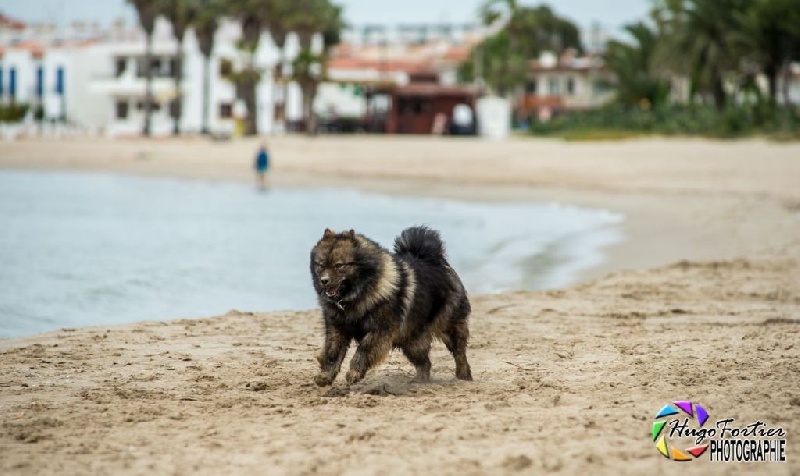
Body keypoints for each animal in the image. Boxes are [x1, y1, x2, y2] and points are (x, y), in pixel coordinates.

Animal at [310, 225, 476, 384]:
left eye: (339, 265)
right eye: (321, 265)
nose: (324, 280)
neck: (357, 296)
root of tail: (436, 260)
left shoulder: (380, 330)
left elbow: (363, 350)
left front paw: (354, 373)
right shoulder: (337, 329)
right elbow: (332, 353)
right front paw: (325, 375)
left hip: (448, 327)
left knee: (459, 353)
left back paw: (463, 376)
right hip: (412, 341)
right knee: (425, 363)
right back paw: (419, 382)